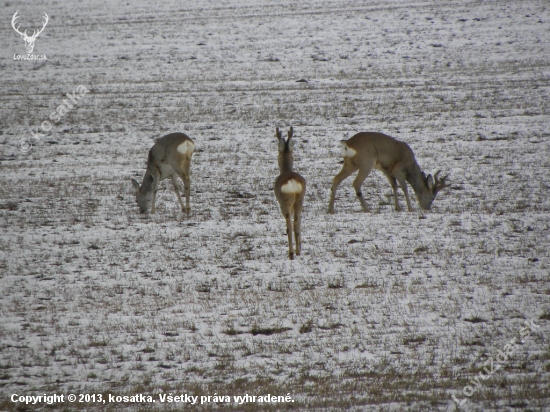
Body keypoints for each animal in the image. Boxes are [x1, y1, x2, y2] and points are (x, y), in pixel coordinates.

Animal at [274, 126, 308, 260]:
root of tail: (291, 181)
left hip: (286, 202)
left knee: (289, 224)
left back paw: (291, 253)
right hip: (299, 199)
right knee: (297, 221)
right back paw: (298, 250)